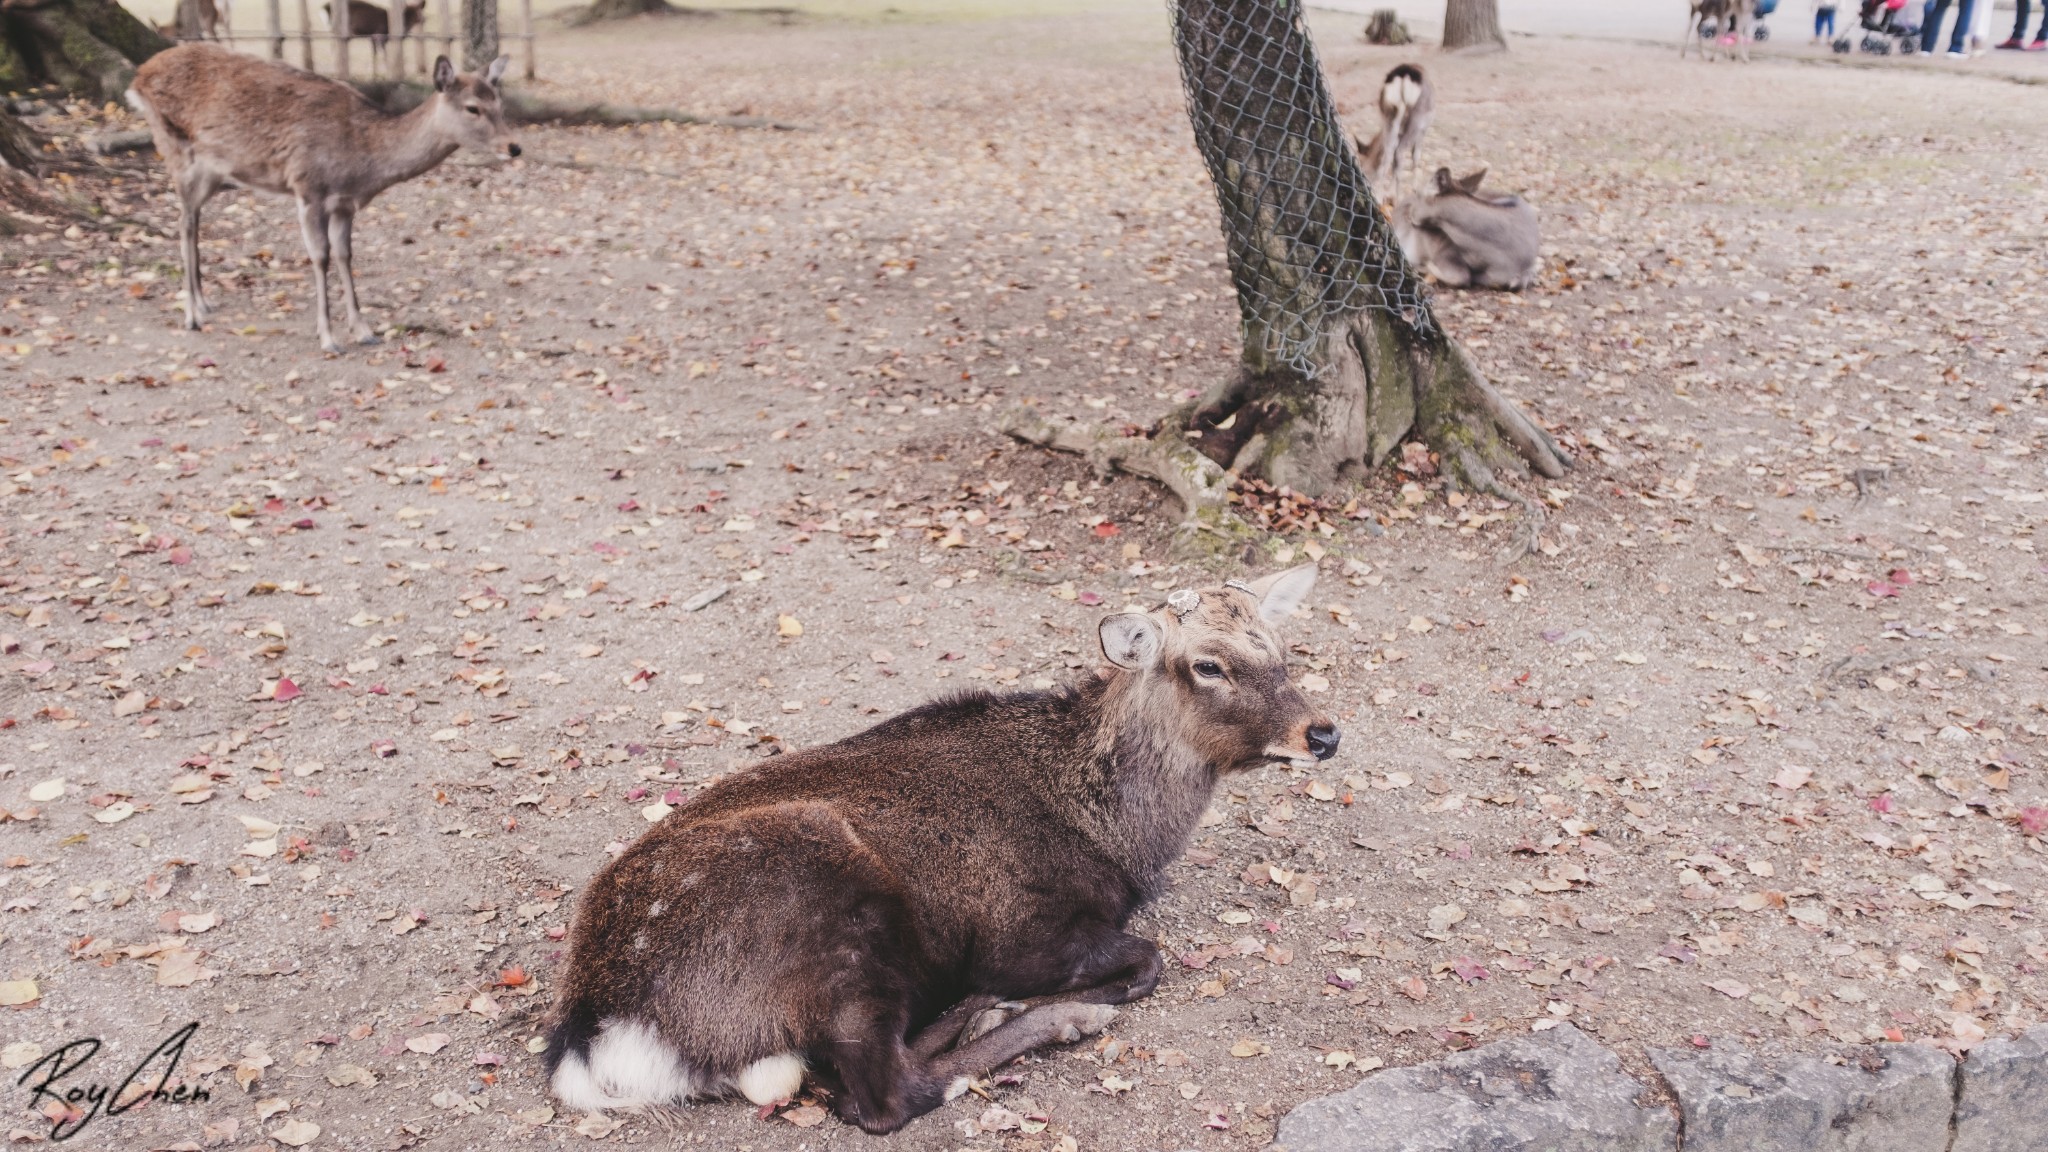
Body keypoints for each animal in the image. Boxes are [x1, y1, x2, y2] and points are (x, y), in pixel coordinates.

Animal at [126, 44, 520, 352]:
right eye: (472, 107)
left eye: (500, 103)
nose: (514, 147)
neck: (361, 160)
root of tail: (139, 77)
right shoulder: (308, 188)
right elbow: (320, 257)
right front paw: (328, 337)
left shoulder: (345, 204)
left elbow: (345, 255)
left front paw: (363, 330)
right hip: (175, 149)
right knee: (183, 221)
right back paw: (191, 314)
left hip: (213, 170)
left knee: (194, 219)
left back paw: (204, 304)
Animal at [544, 565, 1343, 1131]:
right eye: (1208, 664)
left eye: (1283, 650)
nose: (1325, 733)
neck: (1120, 837)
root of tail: (598, 1029)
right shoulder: (1025, 933)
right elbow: (1147, 959)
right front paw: (1079, 998)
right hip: (834, 911)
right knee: (879, 1096)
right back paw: (1055, 1018)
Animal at [1359, 62, 1441, 190]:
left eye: (1362, 163)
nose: (1366, 176)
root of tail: (1404, 77)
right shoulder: (1423, 130)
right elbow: (1416, 155)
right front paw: (1415, 187)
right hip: (1416, 121)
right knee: (1399, 152)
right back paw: (1395, 192)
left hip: (1390, 114)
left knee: (1388, 154)